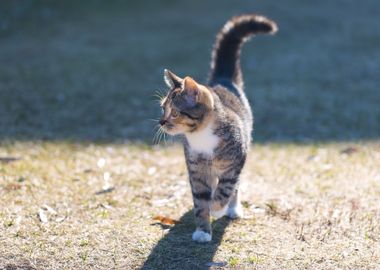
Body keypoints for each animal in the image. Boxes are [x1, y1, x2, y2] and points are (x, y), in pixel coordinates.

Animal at [157, 14, 276, 243]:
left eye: (174, 112)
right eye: (162, 108)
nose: (161, 122)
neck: (201, 135)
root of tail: (222, 80)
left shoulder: (235, 162)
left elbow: (227, 187)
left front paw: (218, 208)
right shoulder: (196, 169)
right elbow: (200, 200)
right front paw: (203, 230)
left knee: (234, 185)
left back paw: (232, 208)